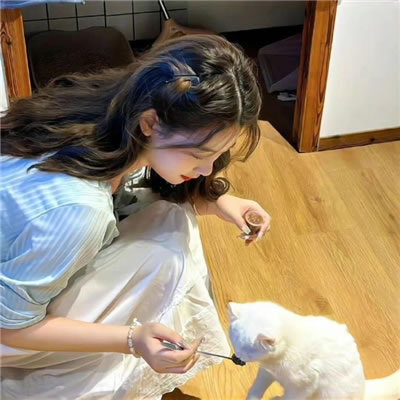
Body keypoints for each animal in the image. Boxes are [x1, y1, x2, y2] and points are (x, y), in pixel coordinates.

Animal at [228, 301, 400, 400]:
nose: (236, 358)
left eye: (248, 352)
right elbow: (256, 389)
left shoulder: (304, 386)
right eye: (234, 344)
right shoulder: (266, 372)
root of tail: (363, 388)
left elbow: (290, 398)